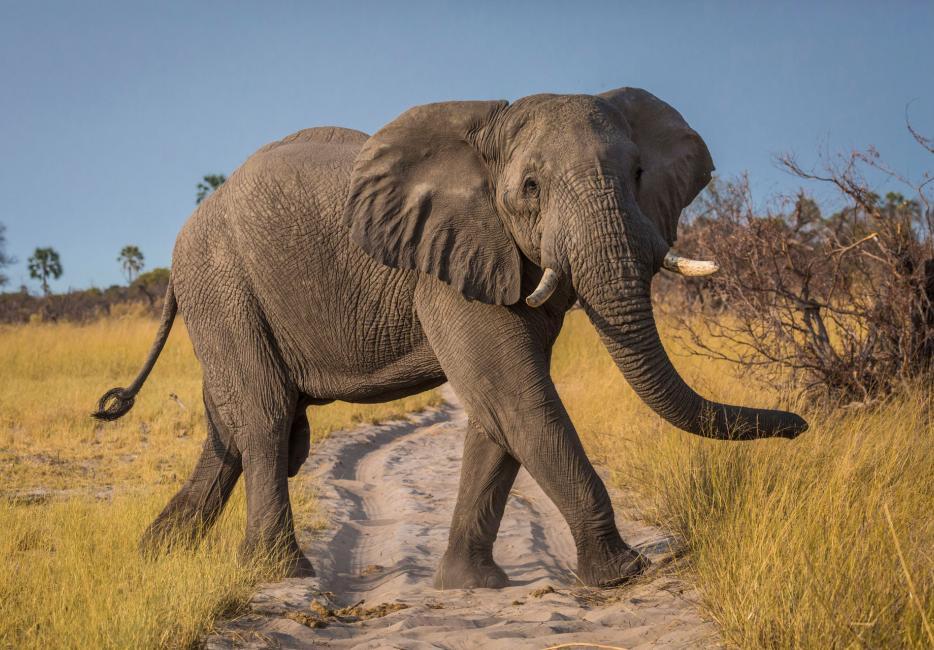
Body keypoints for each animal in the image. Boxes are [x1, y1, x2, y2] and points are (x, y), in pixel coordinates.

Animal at [93, 87, 807, 589]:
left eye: (637, 176)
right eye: (530, 188)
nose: (801, 426)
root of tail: (187, 232)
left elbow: (498, 412)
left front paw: (471, 585)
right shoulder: (448, 262)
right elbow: (518, 395)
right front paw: (622, 574)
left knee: (233, 427)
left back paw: (156, 556)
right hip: (222, 280)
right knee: (266, 418)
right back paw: (278, 572)